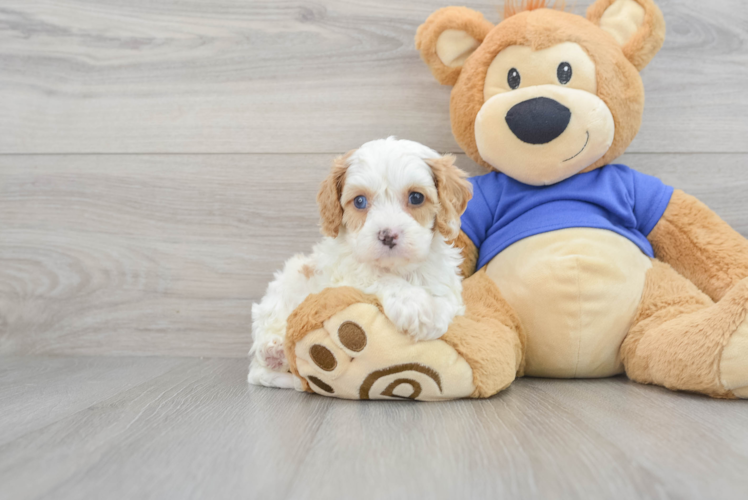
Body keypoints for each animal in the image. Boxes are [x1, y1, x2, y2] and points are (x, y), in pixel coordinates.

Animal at [251, 138, 474, 390]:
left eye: (416, 197)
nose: (388, 235)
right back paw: (275, 350)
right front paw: (415, 305)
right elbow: (376, 275)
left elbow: (445, 296)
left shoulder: (444, 277)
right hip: (281, 293)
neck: (398, 268)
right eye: (359, 201)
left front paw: (433, 313)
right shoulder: (344, 273)